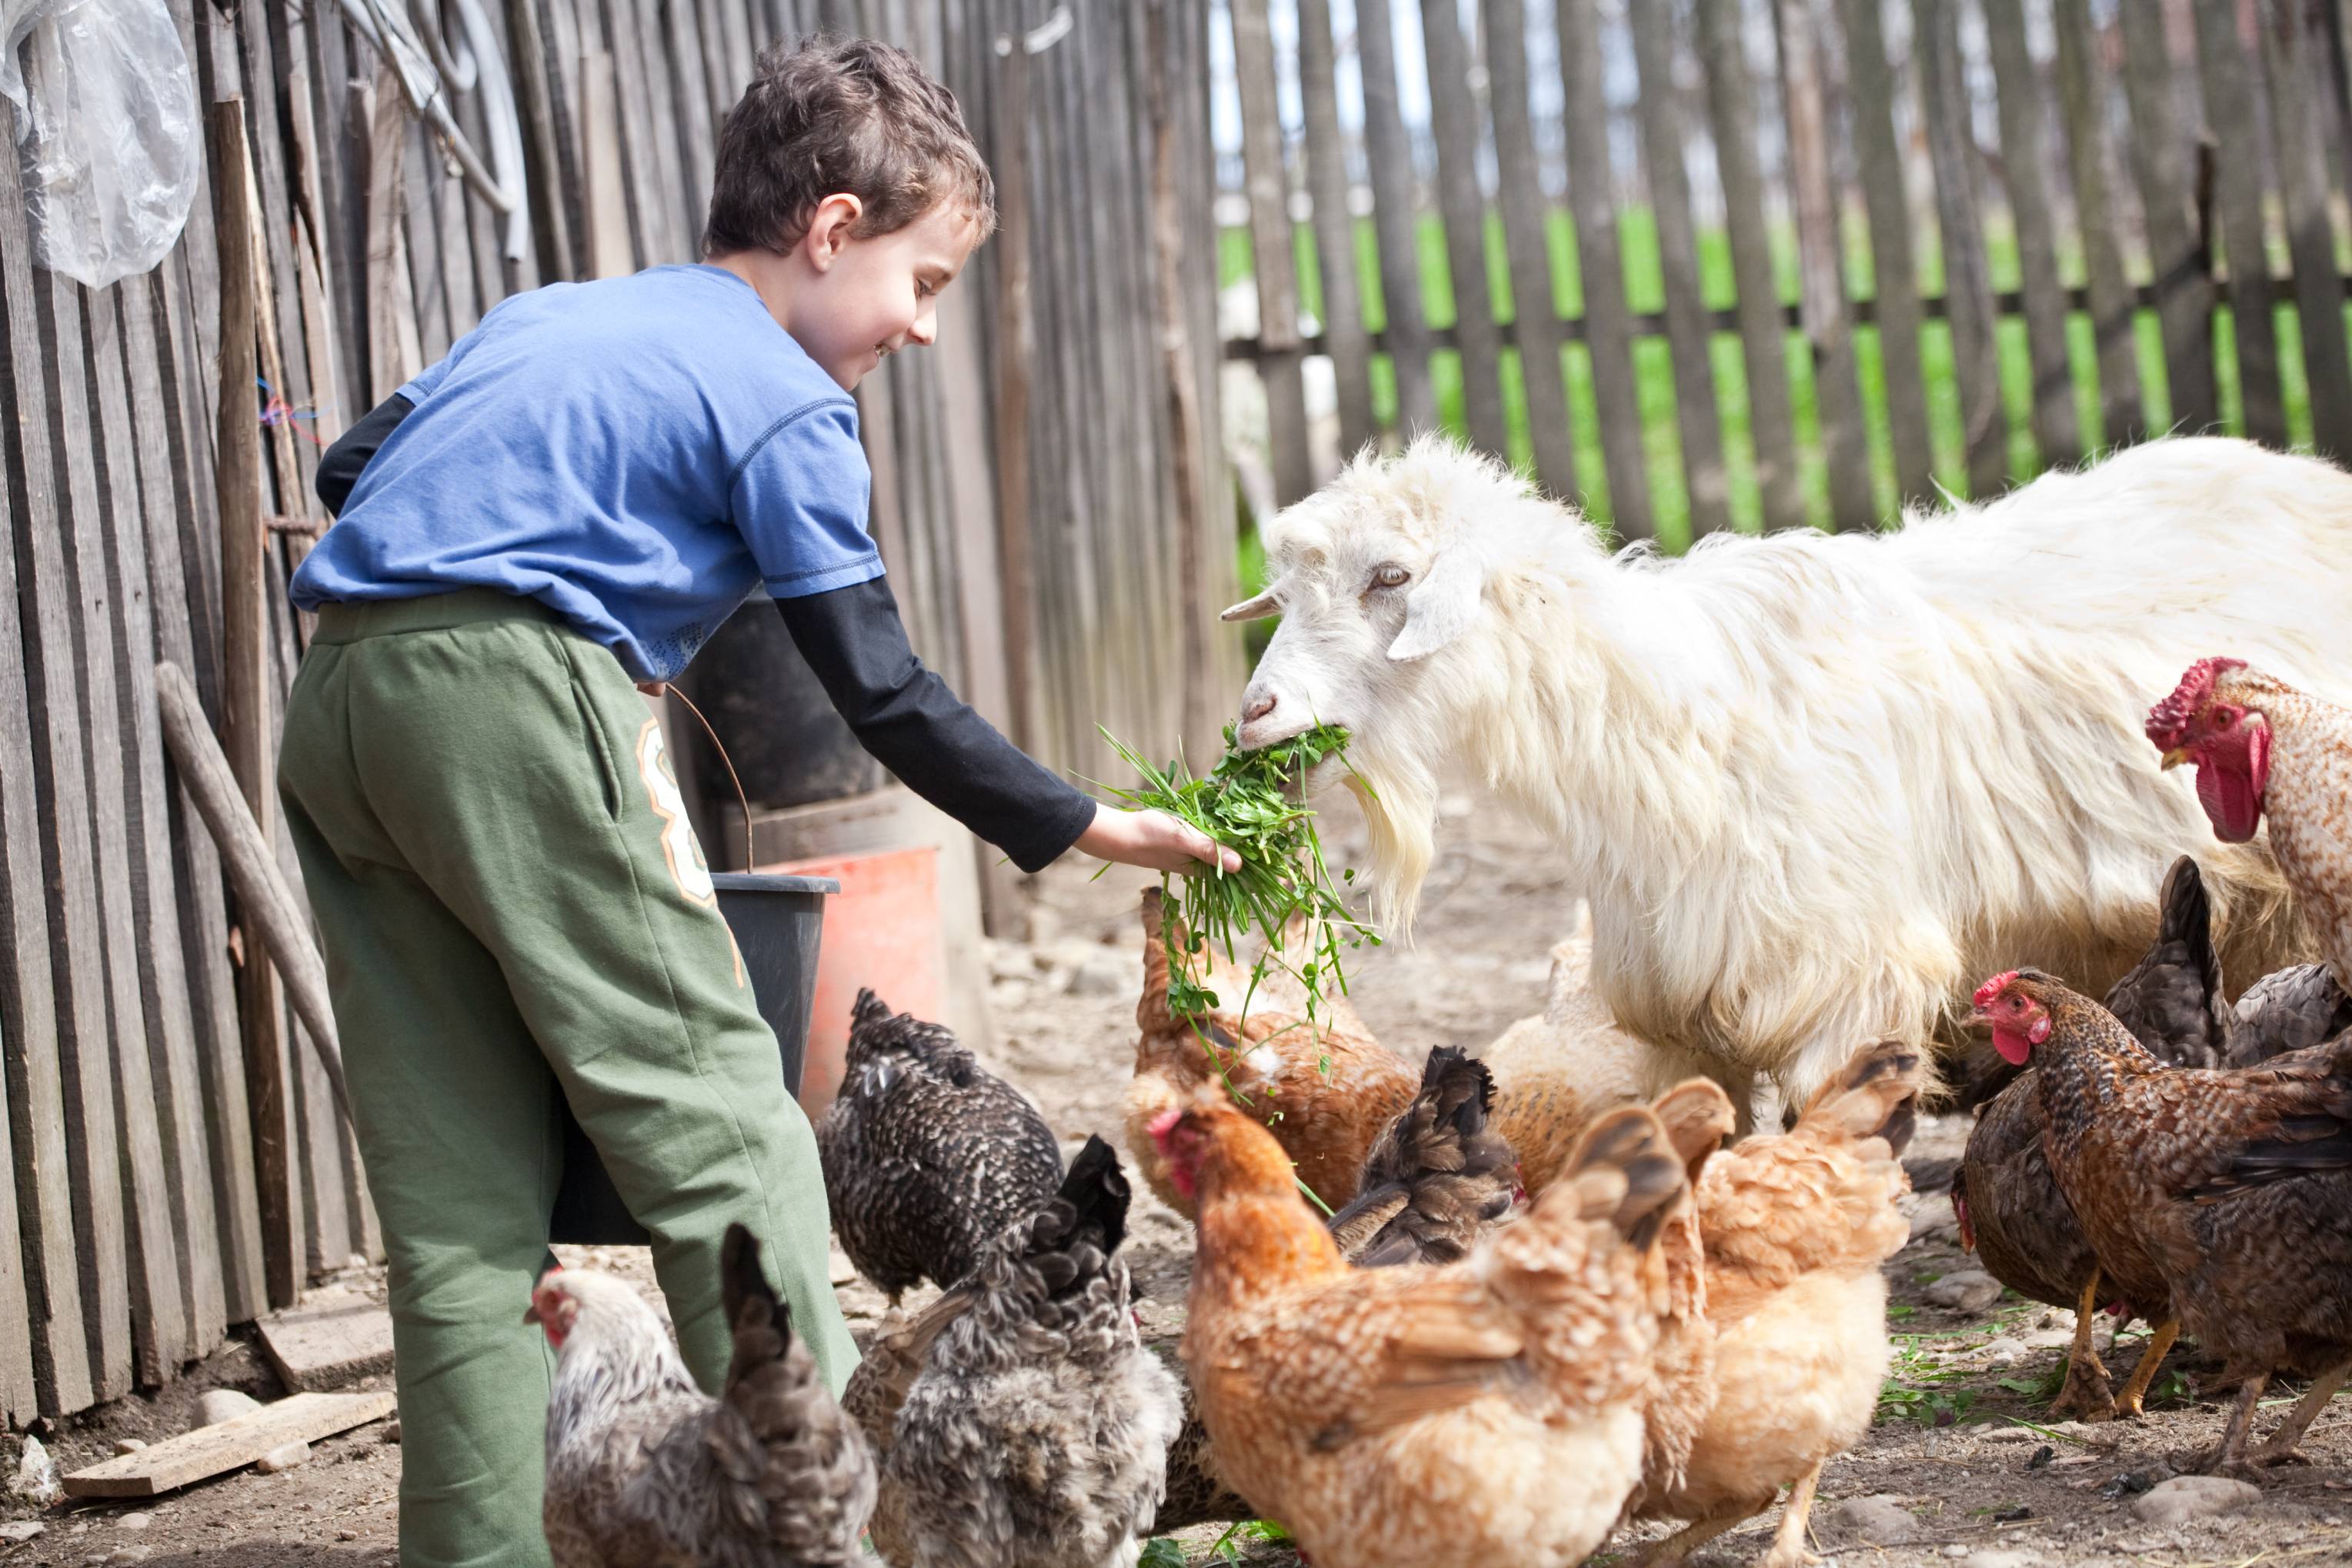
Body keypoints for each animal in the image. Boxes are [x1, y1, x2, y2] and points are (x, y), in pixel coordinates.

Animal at [1232, 435, 2352, 1109]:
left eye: (1391, 577)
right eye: (1281, 590)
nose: (1254, 714)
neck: (1667, 720)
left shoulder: (1846, 985)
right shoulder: (1685, 1014)